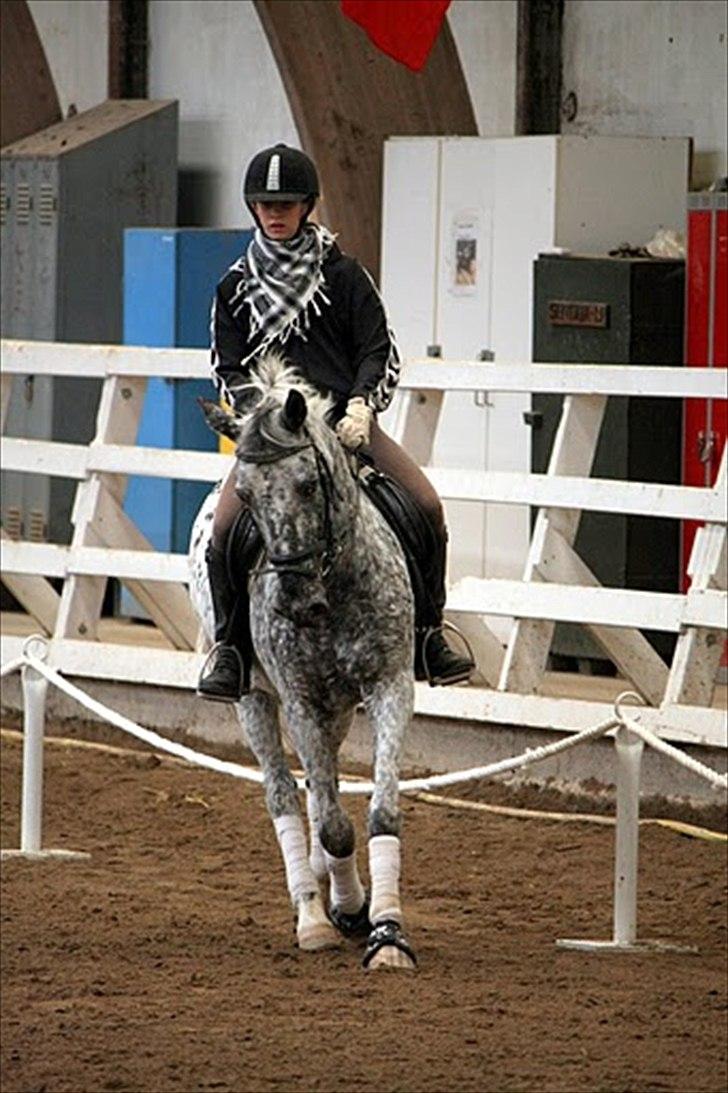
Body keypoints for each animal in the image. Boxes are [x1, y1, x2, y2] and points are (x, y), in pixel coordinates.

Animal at [186, 354, 413, 970]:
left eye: (309, 484)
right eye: (246, 494)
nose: (293, 599)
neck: (333, 590)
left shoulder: (390, 685)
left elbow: (379, 812)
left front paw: (387, 934)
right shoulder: (301, 700)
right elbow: (334, 825)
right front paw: (350, 911)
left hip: (338, 706)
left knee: (317, 783)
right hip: (254, 700)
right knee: (285, 793)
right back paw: (312, 913)